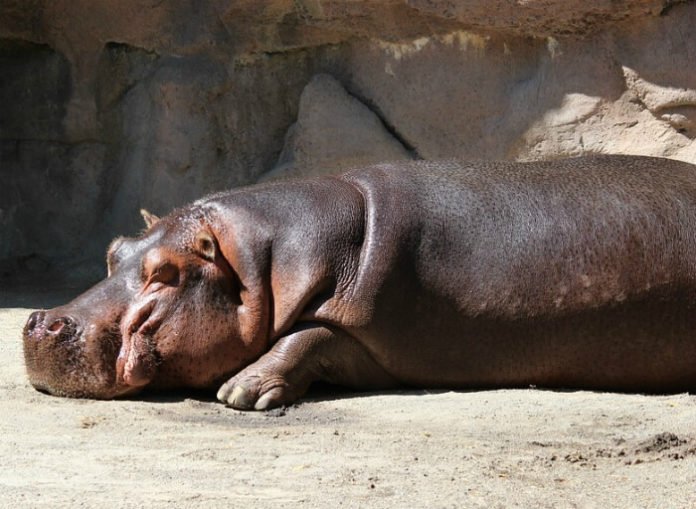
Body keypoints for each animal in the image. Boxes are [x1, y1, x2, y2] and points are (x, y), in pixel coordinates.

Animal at [19, 155, 696, 408]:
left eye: (166, 274)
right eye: (114, 251)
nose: (40, 319)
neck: (255, 266)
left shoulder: (368, 330)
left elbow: (308, 336)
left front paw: (240, 391)